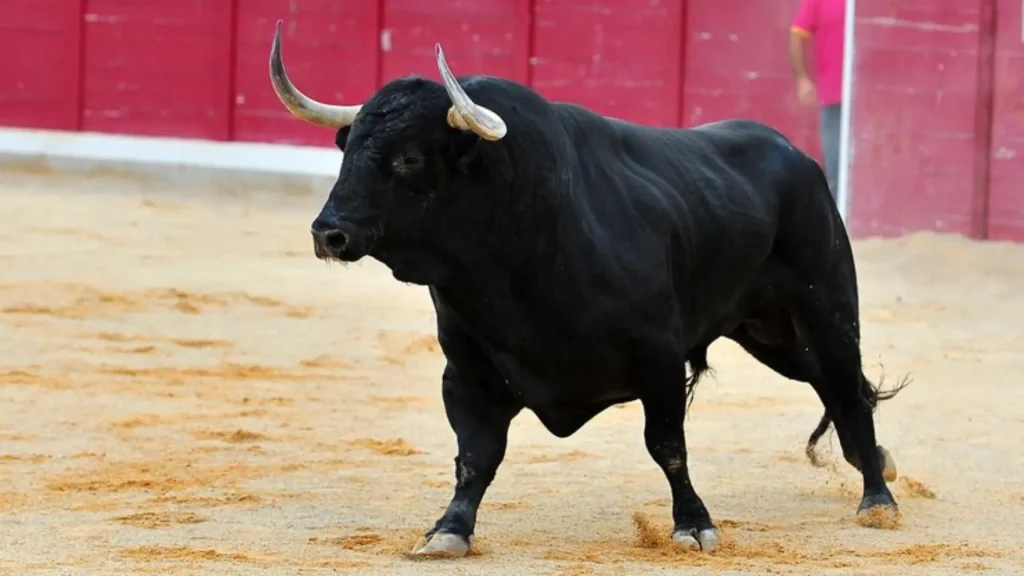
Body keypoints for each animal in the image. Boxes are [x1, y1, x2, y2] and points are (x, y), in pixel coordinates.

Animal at [267, 20, 907, 557]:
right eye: (349, 149)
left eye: (407, 158)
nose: (328, 233)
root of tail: (798, 155)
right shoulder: (467, 368)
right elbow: (475, 455)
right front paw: (448, 530)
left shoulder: (658, 358)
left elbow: (667, 445)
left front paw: (693, 524)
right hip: (771, 334)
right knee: (836, 387)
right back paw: (872, 462)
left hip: (826, 308)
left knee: (847, 388)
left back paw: (877, 499)